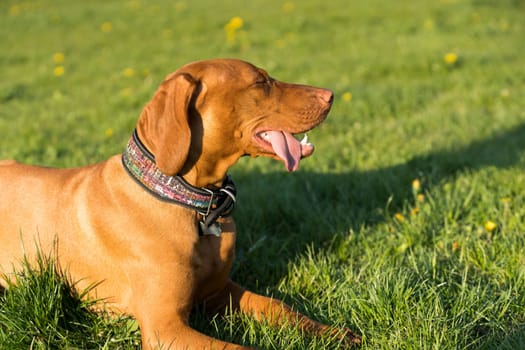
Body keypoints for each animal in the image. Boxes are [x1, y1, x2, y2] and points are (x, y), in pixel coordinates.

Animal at [0, 58, 360, 348]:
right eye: (260, 81)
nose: (329, 94)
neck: (193, 204)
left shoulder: (218, 291)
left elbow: (278, 306)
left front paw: (333, 333)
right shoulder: (165, 328)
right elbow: (239, 349)